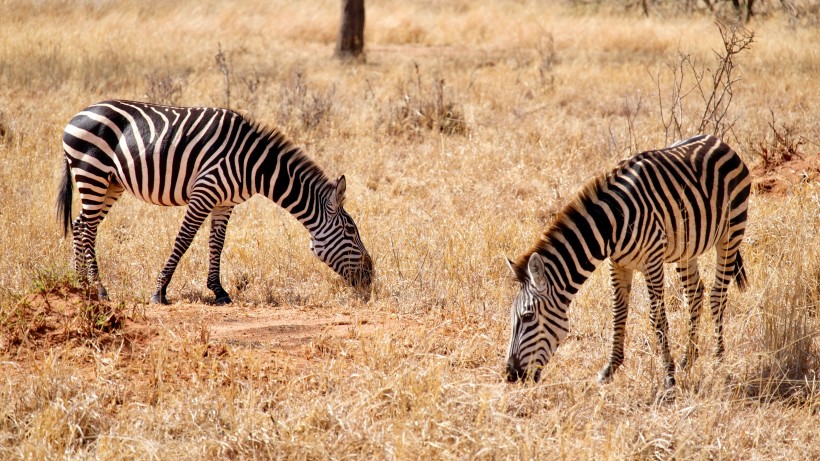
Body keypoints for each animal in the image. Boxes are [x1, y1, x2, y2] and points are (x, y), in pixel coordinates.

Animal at [58, 99, 374, 304]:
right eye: (350, 231)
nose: (370, 277)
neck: (253, 164)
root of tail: (77, 115)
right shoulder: (204, 192)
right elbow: (184, 239)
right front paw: (160, 291)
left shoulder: (225, 202)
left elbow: (217, 243)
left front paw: (219, 291)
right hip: (93, 173)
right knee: (88, 228)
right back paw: (99, 289)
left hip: (110, 182)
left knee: (81, 224)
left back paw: (81, 283)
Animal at [506, 135, 748, 386]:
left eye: (528, 316)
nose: (510, 375)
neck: (610, 224)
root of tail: (716, 140)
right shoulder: (618, 263)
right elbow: (618, 313)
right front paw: (610, 369)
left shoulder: (652, 261)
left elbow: (657, 318)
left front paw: (669, 377)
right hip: (686, 247)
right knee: (694, 294)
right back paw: (688, 359)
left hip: (732, 231)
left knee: (718, 294)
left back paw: (719, 360)